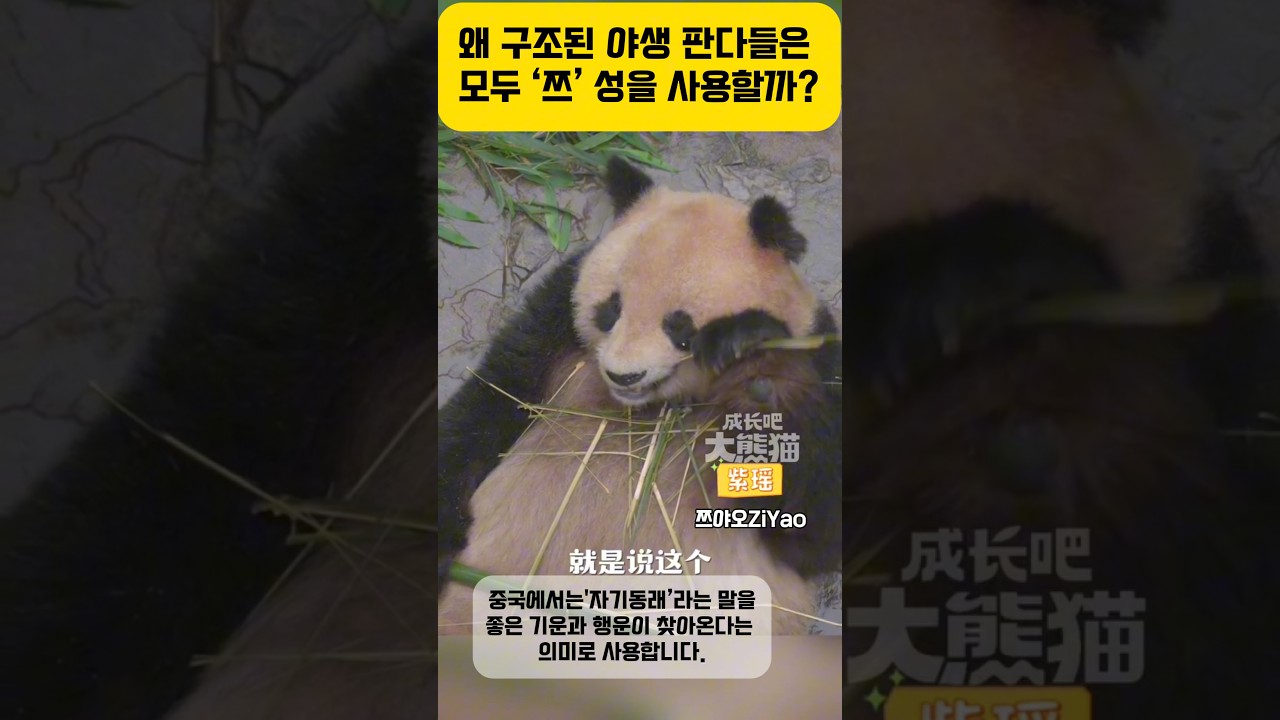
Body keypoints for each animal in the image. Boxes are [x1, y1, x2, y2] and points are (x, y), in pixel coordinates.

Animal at [435, 157, 843, 636]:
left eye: (681, 328)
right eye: (611, 309)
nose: (622, 375)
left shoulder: (820, 355)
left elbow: (815, 526)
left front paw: (748, 347)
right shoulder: (555, 322)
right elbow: (488, 403)